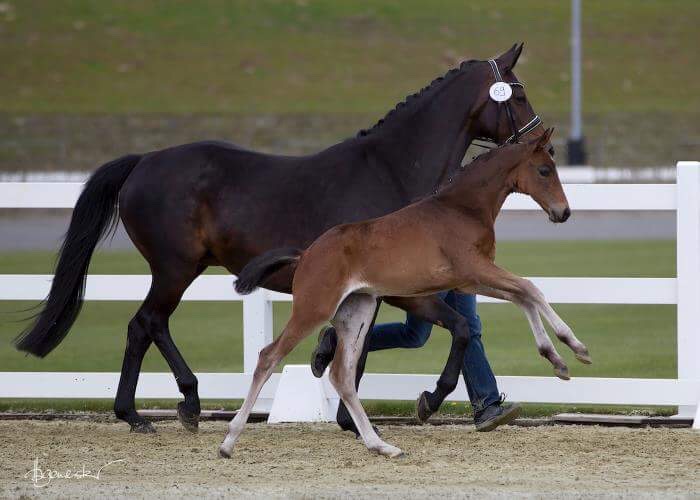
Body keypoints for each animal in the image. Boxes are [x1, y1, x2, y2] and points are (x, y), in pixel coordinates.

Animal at [15, 43, 548, 434]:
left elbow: (380, 342)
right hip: (174, 268)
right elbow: (369, 349)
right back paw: (169, 406)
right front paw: (366, 415)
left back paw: (152, 410)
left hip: (180, 268)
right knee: (146, 323)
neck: (391, 169)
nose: (540, 141)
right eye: (519, 94)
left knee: (147, 326)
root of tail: (144, 161)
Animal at [220, 130, 592, 460]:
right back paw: (228, 442)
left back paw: (382, 446)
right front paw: (575, 347)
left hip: (357, 311)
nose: (563, 212)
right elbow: (531, 289)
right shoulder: (475, 269)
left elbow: (523, 296)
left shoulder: (471, 279)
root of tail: (306, 253)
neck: (461, 208)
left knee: (342, 375)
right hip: (313, 308)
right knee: (268, 356)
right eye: (544, 170)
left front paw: (558, 360)